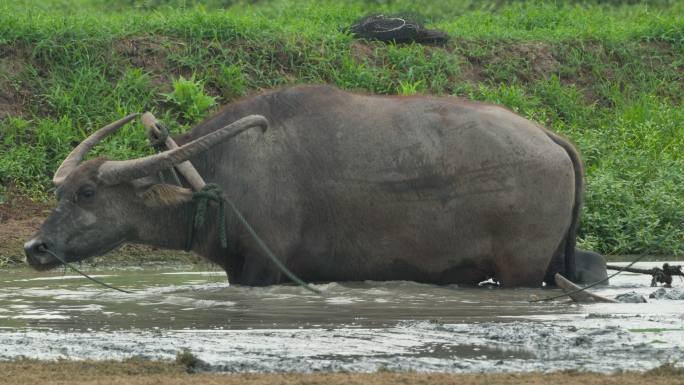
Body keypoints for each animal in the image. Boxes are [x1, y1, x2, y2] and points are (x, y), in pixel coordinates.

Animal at [25, 85, 584, 286]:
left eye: (88, 193)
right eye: (59, 193)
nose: (35, 248)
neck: (219, 174)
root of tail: (549, 138)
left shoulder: (264, 268)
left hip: (520, 270)